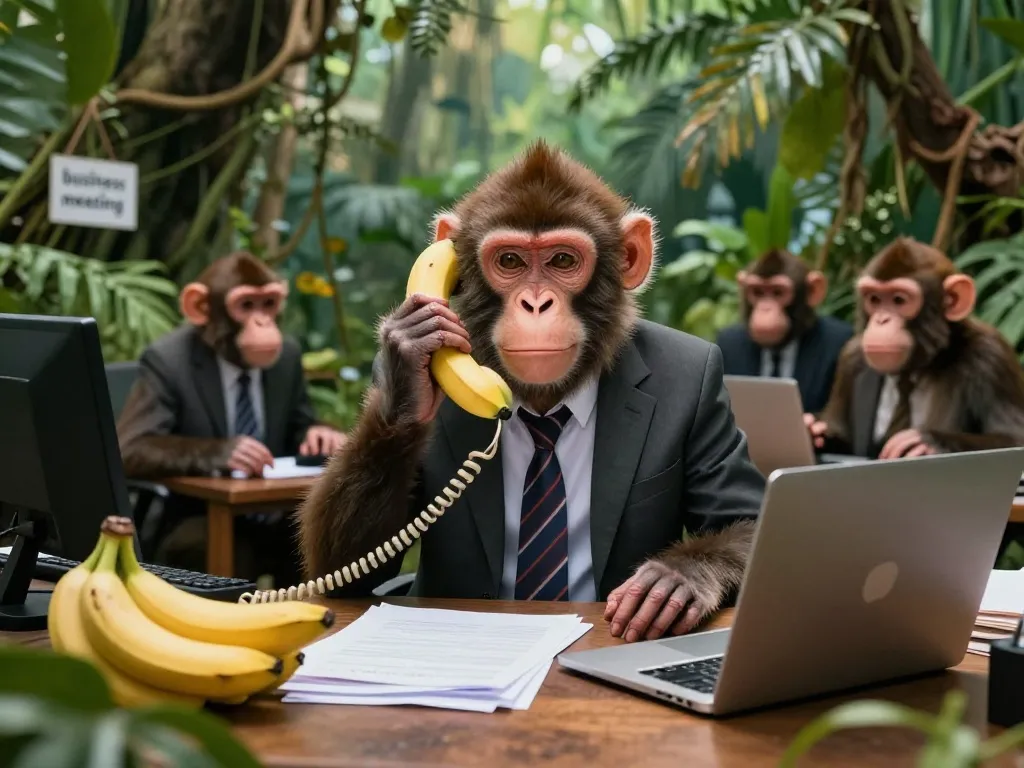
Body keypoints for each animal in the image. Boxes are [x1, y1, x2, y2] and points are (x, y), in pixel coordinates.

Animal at [297, 141, 765, 642]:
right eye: (509, 261)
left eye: (562, 261)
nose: (535, 303)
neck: (544, 409)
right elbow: (345, 573)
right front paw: (411, 358)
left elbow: (747, 518)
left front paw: (675, 577)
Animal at [805, 237, 1024, 460]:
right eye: (874, 299)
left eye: (899, 300)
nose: (881, 320)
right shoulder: (850, 358)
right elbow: (842, 434)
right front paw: (812, 430)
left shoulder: (991, 356)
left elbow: (1013, 438)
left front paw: (926, 441)